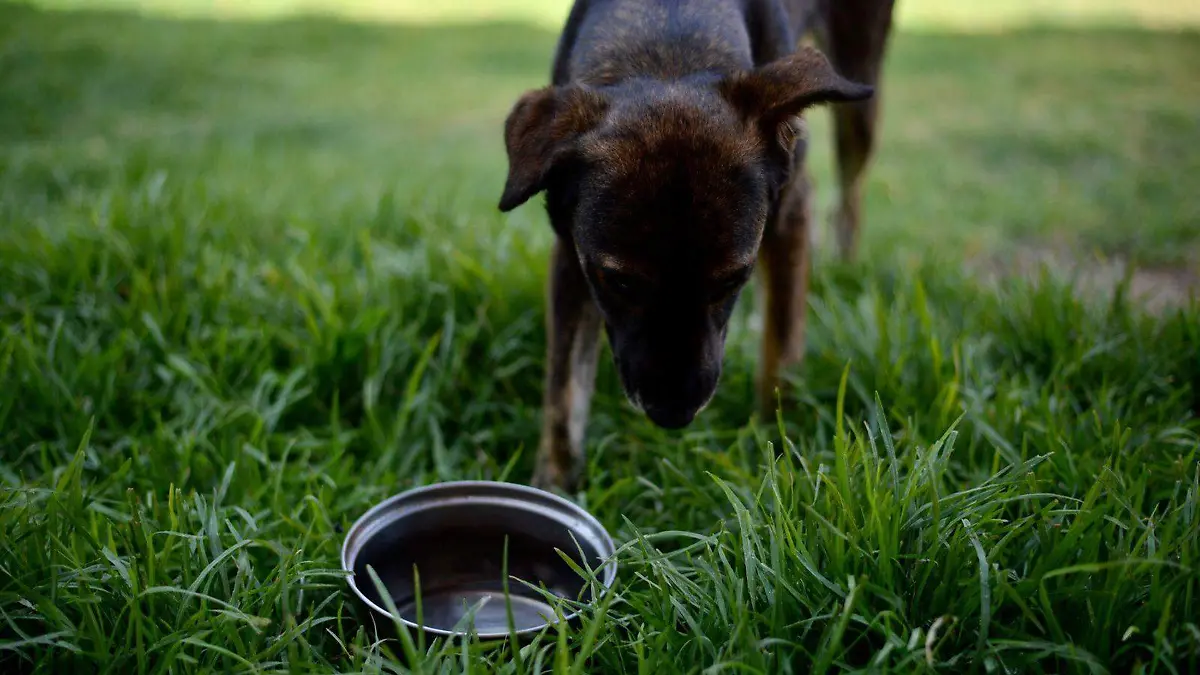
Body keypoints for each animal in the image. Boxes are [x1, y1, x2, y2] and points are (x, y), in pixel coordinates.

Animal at [498, 0, 895, 490]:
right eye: (619, 283)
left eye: (732, 279)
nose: (673, 416)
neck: (667, 44)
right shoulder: (572, 255)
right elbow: (563, 391)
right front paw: (551, 485)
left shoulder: (785, 215)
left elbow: (780, 354)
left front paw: (778, 457)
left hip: (859, 83)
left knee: (849, 187)